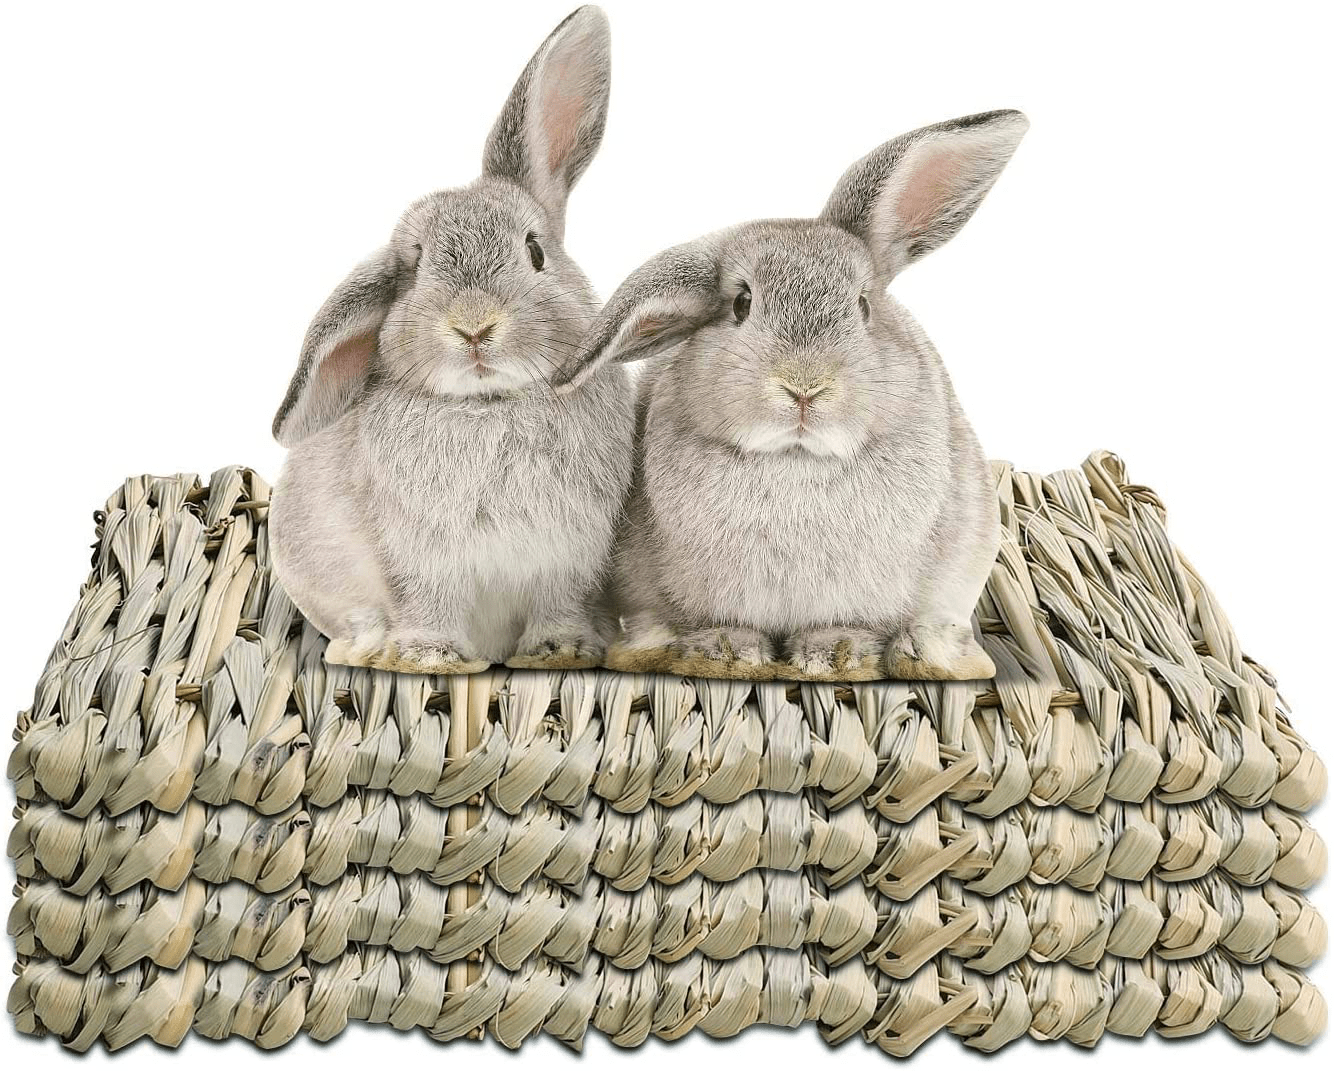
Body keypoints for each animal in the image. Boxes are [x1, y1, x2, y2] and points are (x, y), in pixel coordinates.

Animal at [268, 6, 634, 674]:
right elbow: (424, 602)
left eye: (535, 251)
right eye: (413, 269)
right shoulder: (415, 559)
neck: (488, 405)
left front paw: (561, 649)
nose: (474, 325)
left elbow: (560, 603)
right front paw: (433, 656)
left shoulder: (572, 557)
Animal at [554, 110, 1028, 681]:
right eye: (741, 304)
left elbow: (846, 625)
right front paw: (724, 652)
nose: (805, 386)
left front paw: (834, 655)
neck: (796, 460)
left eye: (864, 306)